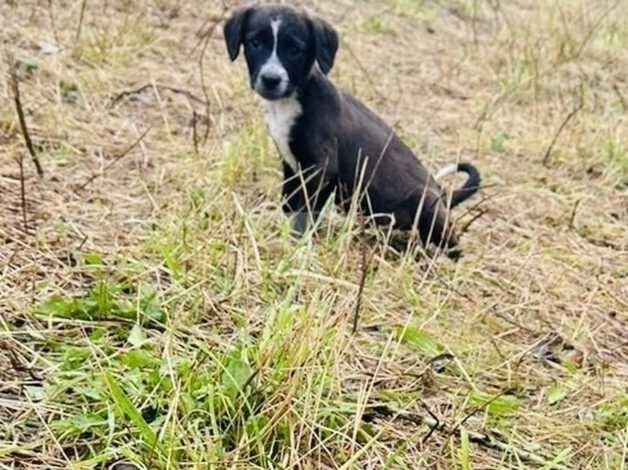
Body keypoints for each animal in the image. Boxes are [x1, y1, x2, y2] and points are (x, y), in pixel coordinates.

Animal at [224, 3, 480, 253]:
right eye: (255, 43)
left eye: (295, 49)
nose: (271, 79)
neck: (294, 98)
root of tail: (442, 193)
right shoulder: (290, 165)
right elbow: (288, 204)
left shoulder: (321, 168)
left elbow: (305, 212)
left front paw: (297, 246)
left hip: (426, 205)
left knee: (453, 247)